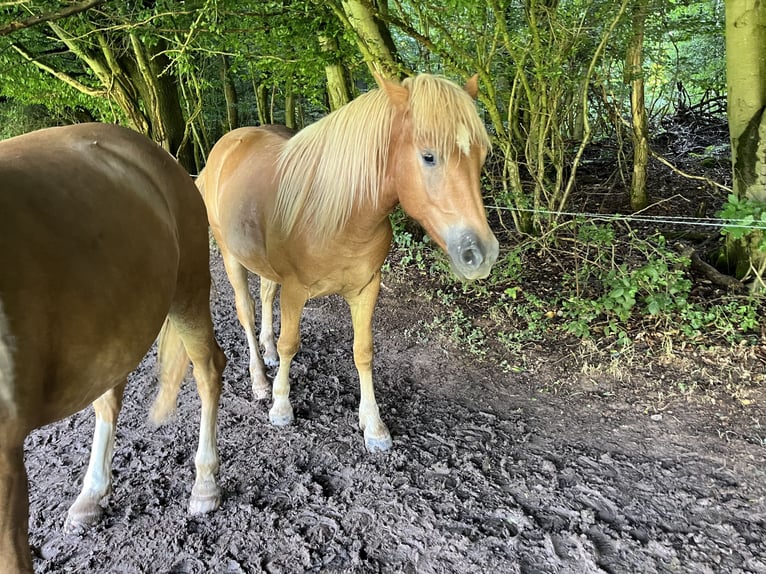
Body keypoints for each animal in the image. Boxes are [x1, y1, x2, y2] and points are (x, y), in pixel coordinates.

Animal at [198, 74, 498, 454]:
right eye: (429, 156)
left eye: (482, 156)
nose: (481, 253)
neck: (338, 213)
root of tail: (226, 146)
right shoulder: (295, 291)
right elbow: (290, 343)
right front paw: (281, 406)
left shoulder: (366, 288)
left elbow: (363, 351)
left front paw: (374, 425)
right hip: (230, 256)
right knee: (246, 311)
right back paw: (260, 380)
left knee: (265, 296)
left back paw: (267, 354)